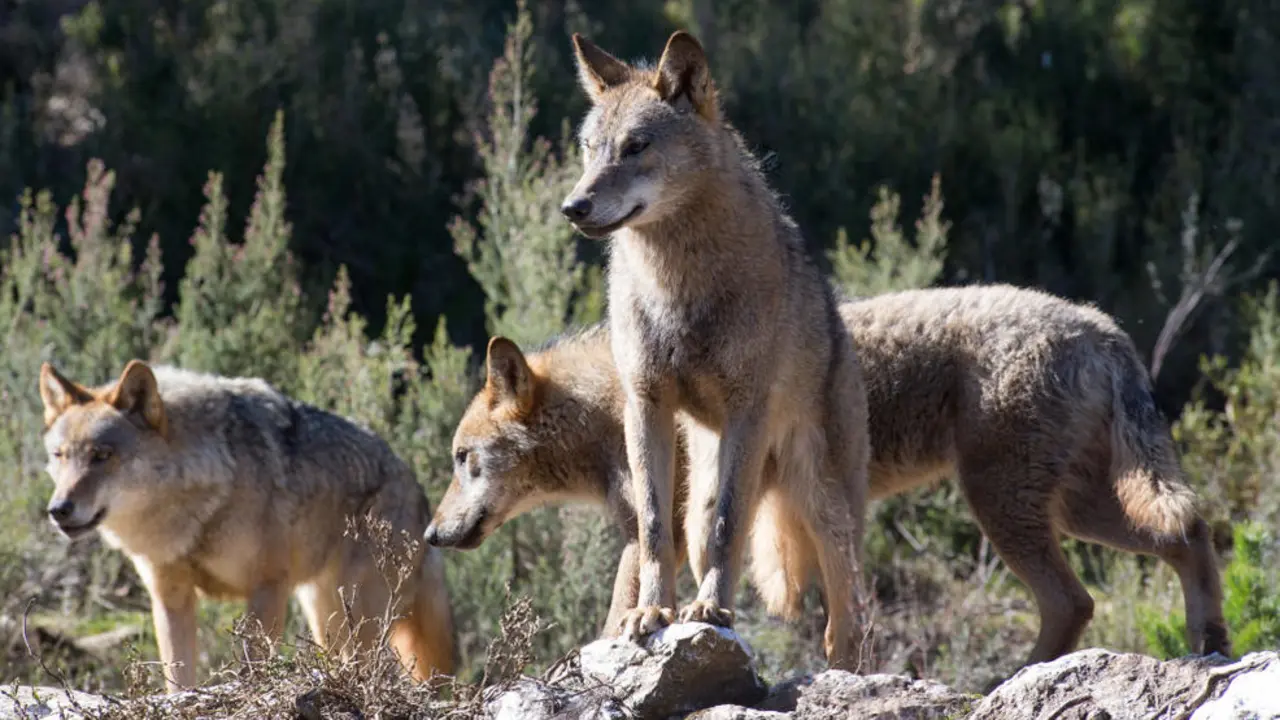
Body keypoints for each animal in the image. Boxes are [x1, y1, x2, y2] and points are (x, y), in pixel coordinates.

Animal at [37, 358, 455, 691]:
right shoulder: (170, 597)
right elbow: (178, 679)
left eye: (102, 455)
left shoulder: (267, 588)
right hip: (327, 619)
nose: (59, 509)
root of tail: (418, 492)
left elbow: (253, 667)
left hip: (358, 621)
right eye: (59, 456)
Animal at [558, 28, 870, 666]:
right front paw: (650, 613)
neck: (677, 286)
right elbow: (654, 529)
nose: (573, 208)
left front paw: (710, 613)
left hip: (823, 505)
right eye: (590, 148)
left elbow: (731, 526)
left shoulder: (747, 407)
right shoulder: (645, 405)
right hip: (706, 490)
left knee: (845, 621)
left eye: (636, 146)